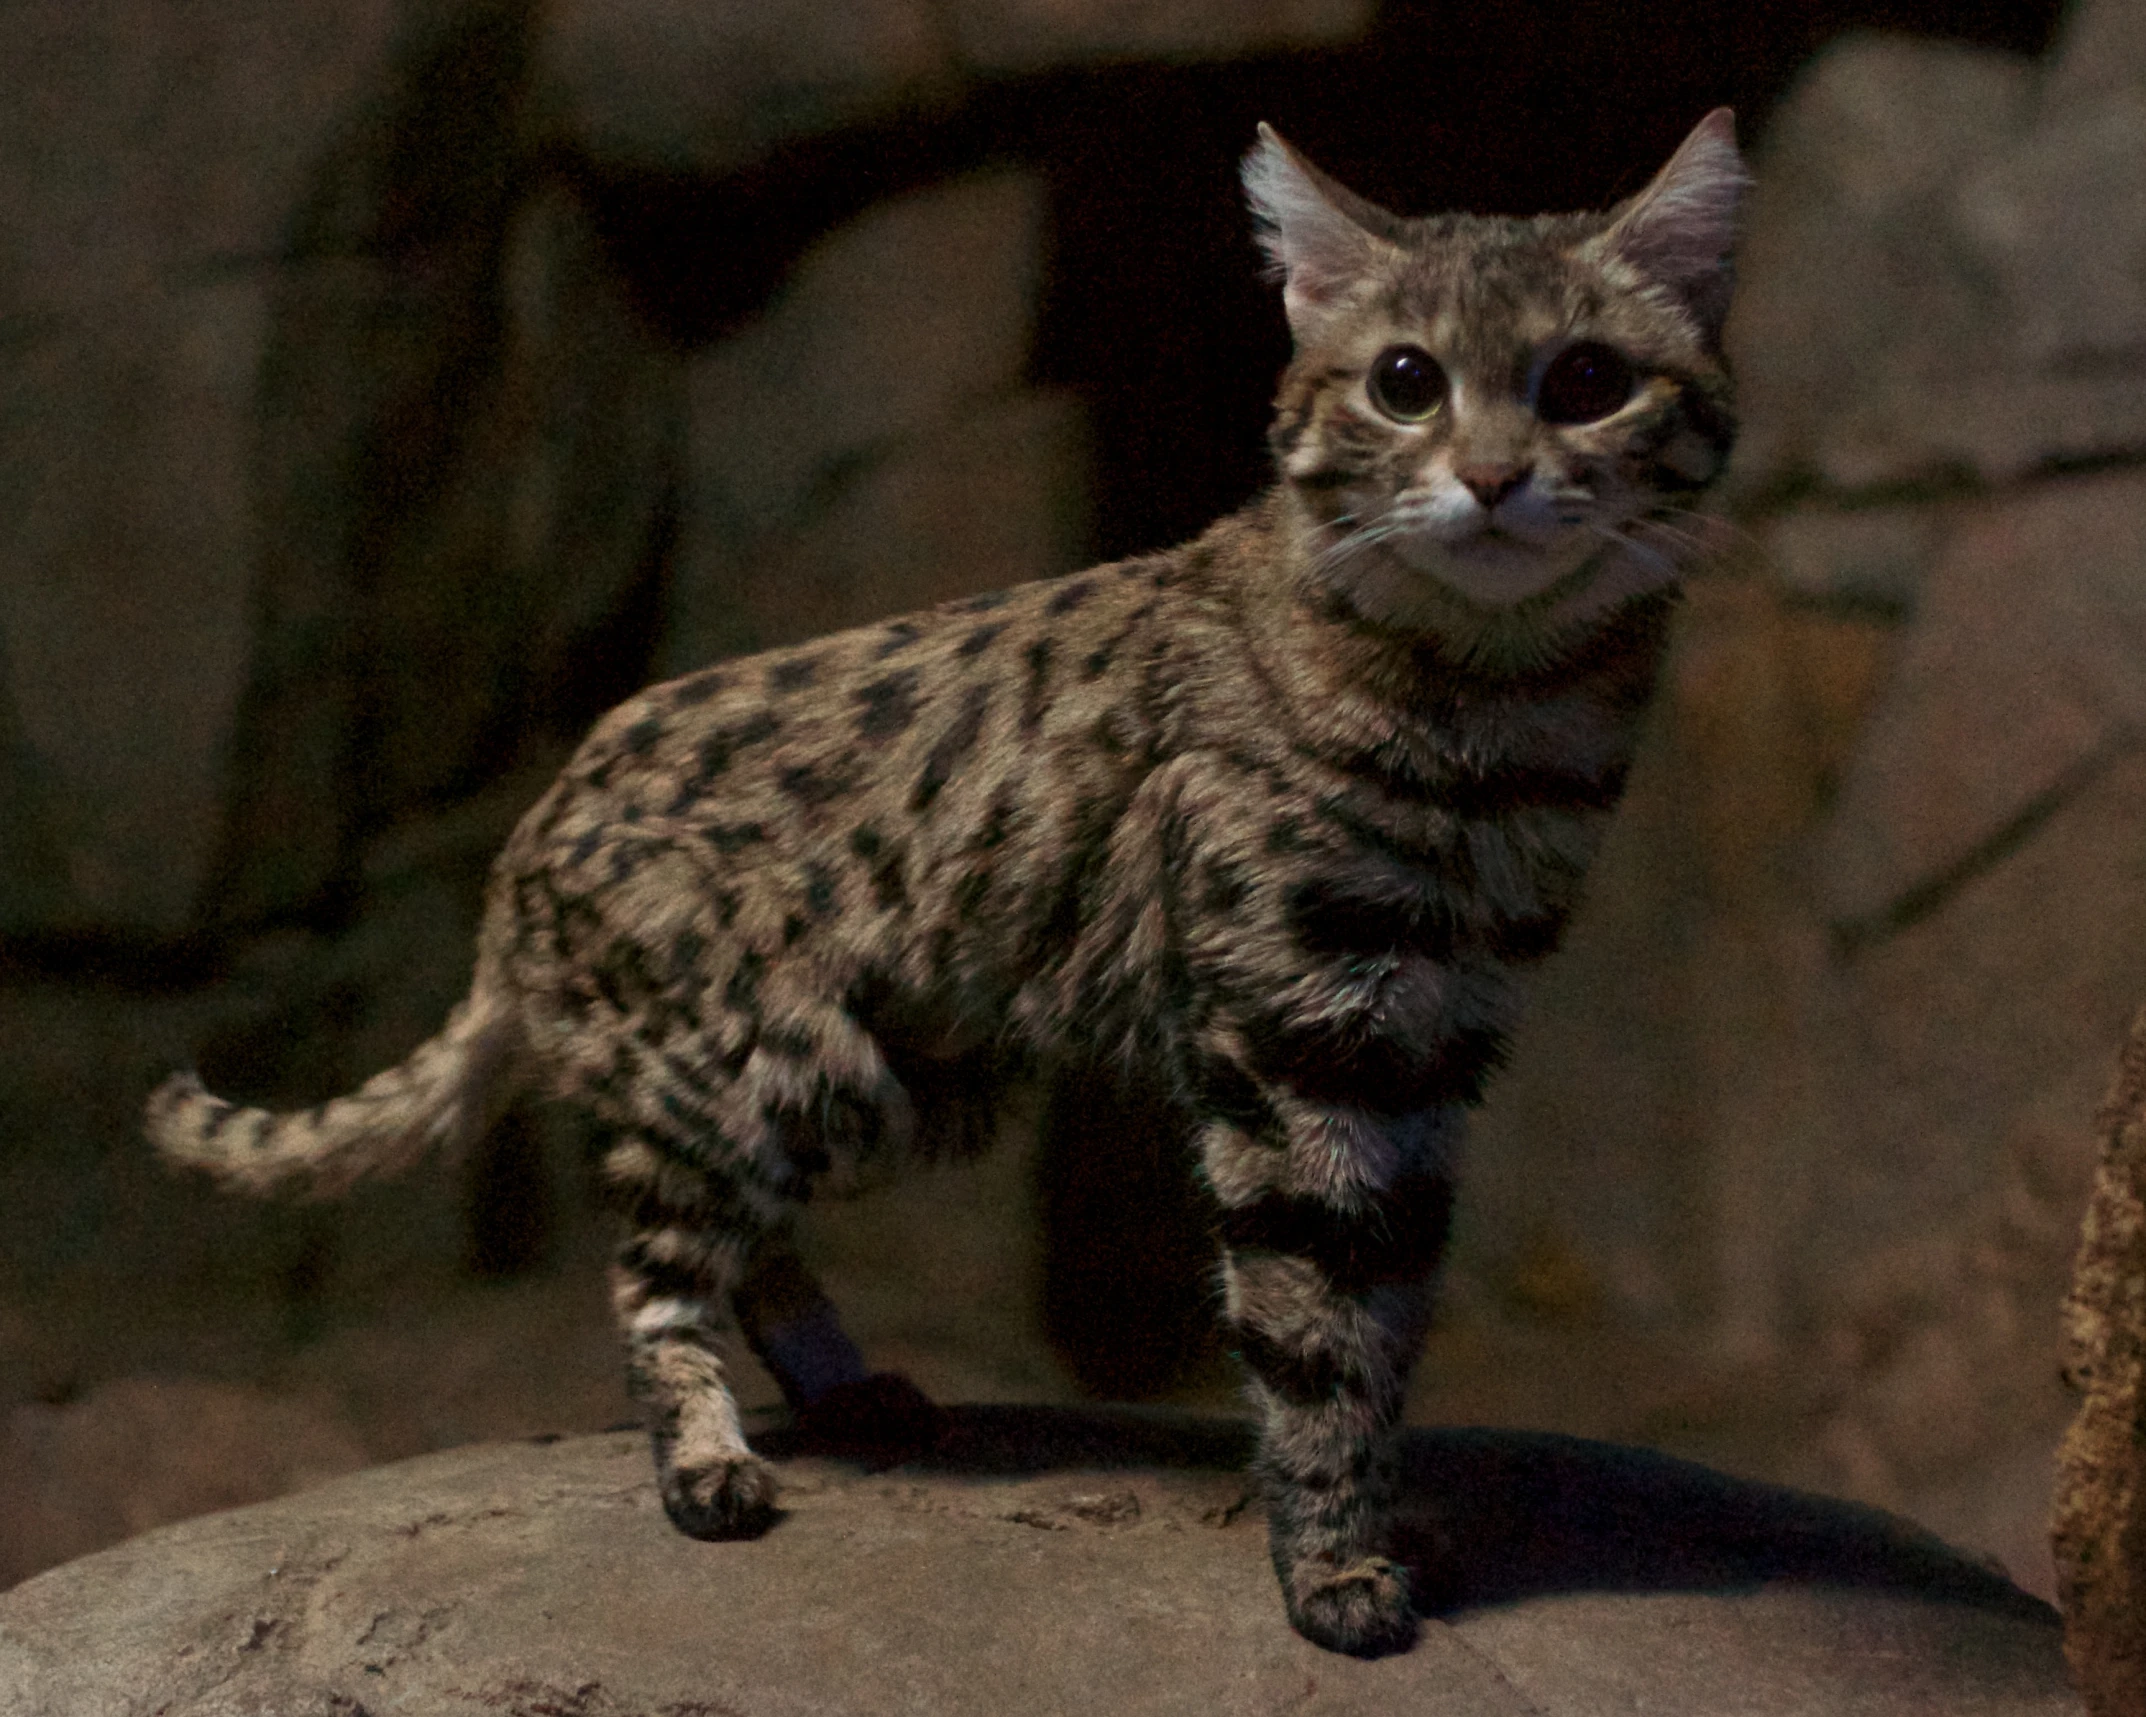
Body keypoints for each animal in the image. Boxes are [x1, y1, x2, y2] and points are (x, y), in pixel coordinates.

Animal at [147, 110, 1742, 1665]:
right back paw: (707, 1460)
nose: (1492, 478)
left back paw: (846, 1390)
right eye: (1407, 383)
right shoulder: (1294, 1034)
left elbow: (1391, 1310)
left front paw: (1383, 1520)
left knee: (746, 1245)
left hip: (902, 1084)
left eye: (1587, 380)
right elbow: (1313, 1323)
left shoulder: (1433, 1038)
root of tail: (516, 868)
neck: (1492, 706)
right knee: (650, 1266)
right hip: (784, 1073)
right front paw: (1333, 1568)